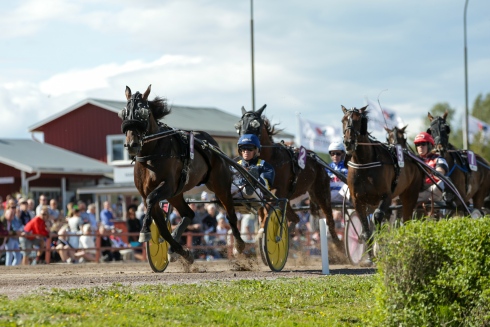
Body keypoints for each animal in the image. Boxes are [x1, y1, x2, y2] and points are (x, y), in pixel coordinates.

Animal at [235, 107, 346, 254]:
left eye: (255, 125)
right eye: (238, 126)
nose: (243, 146)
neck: (272, 159)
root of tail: (317, 160)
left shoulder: (279, 192)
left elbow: (268, 211)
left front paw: (264, 232)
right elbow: (263, 210)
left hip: (321, 192)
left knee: (330, 220)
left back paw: (339, 247)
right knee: (295, 217)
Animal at [340, 105, 424, 256]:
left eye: (358, 120)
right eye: (343, 120)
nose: (348, 142)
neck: (364, 163)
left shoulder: (386, 196)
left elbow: (378, 216)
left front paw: (379, 247)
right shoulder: (358, 200)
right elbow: (366, 230)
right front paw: (370, 254)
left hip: (410, 195)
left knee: (406, 219)